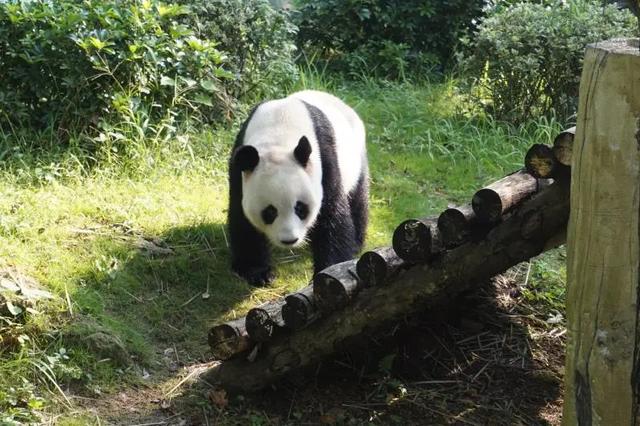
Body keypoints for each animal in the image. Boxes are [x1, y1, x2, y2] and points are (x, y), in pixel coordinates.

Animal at [229, 89, 370, 286]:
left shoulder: (325, 160)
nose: (290, 240)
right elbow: (241, 217)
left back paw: (357, 242)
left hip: (356, 158)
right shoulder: (239, 167)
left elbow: (331, 215)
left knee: (357, 198)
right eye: (269, 212)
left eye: (300, 208)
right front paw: (257, 272)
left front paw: (328, 271)